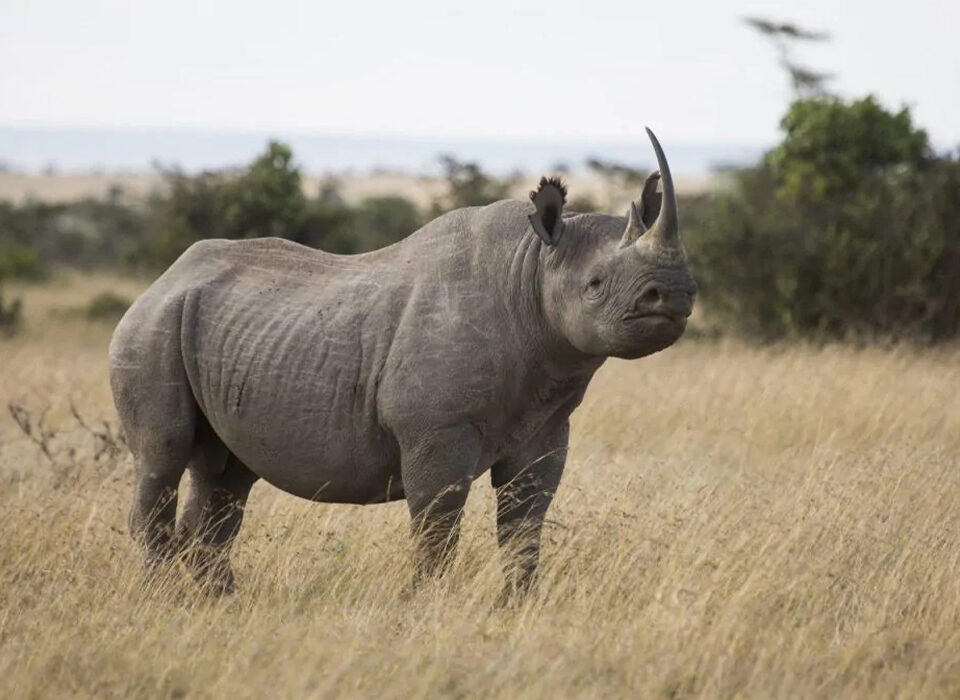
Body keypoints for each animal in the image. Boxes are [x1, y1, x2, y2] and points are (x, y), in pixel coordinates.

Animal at [109, 129, 696, 598]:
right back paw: (164, 600)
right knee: (163, 456)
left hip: (220, 332)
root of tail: (162, 279)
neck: (530, 271)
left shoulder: (546, 426)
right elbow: (437, 528)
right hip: (148, 328)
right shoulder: (435, 428)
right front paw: (424, 607)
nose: (673, 294)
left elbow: (525, 524)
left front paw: (519, 607)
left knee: (226, 476)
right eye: (594, 285)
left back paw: (218, 602)